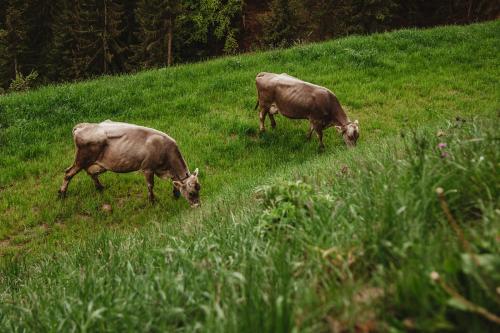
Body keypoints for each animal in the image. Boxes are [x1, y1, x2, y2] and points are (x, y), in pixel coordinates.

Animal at [57, 120, 200, 206]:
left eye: (200, 188)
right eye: (191, 193)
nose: (198, 205)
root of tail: (83, 126)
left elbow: (175, 182)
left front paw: (175, 195)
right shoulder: (148, 168)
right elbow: (150, 186)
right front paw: (152, 202)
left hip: (98, 163)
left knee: (91, 173)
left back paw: (100, 187)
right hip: (81, 159)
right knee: (68, 173)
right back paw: (62, 194)